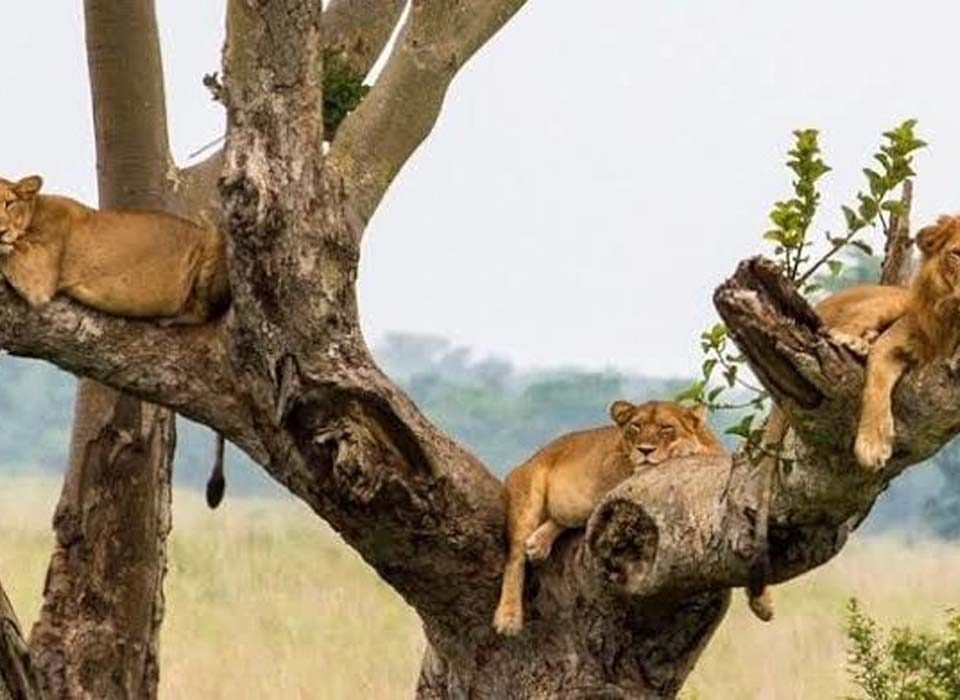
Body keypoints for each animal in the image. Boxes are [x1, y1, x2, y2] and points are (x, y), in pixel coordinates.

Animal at [492, 400, 728, 636]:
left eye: (666, 428)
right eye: (636, 426)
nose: (645, 450)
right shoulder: (614, 464)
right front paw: (682, 448)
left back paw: (538, 543)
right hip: (528, 493)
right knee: (515, 558)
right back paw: (508, 617)